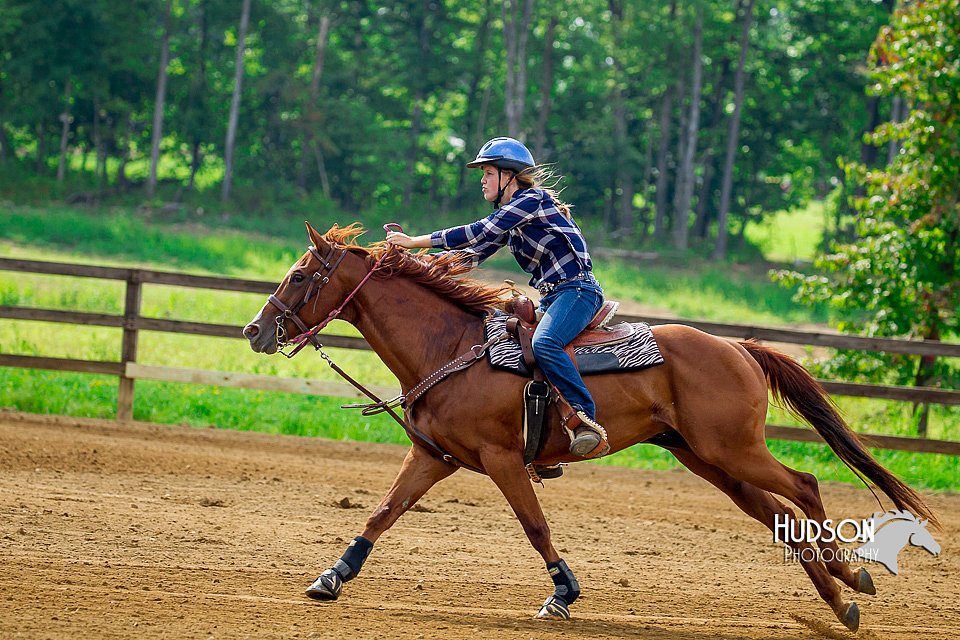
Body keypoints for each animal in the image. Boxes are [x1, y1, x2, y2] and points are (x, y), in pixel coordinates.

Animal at [242, 222, 936, 632]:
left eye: (300, 274)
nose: (254, 330)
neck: (452, 346)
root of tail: (736, 346)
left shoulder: (501, 458)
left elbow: (534, 525)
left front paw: (564, 592)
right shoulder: (434, 457)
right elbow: (382, 512)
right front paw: (330, 578)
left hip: (734, 449)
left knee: (806, 487)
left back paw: (852, 575)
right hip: (706, 459)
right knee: (777, 515)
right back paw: (842, 600)